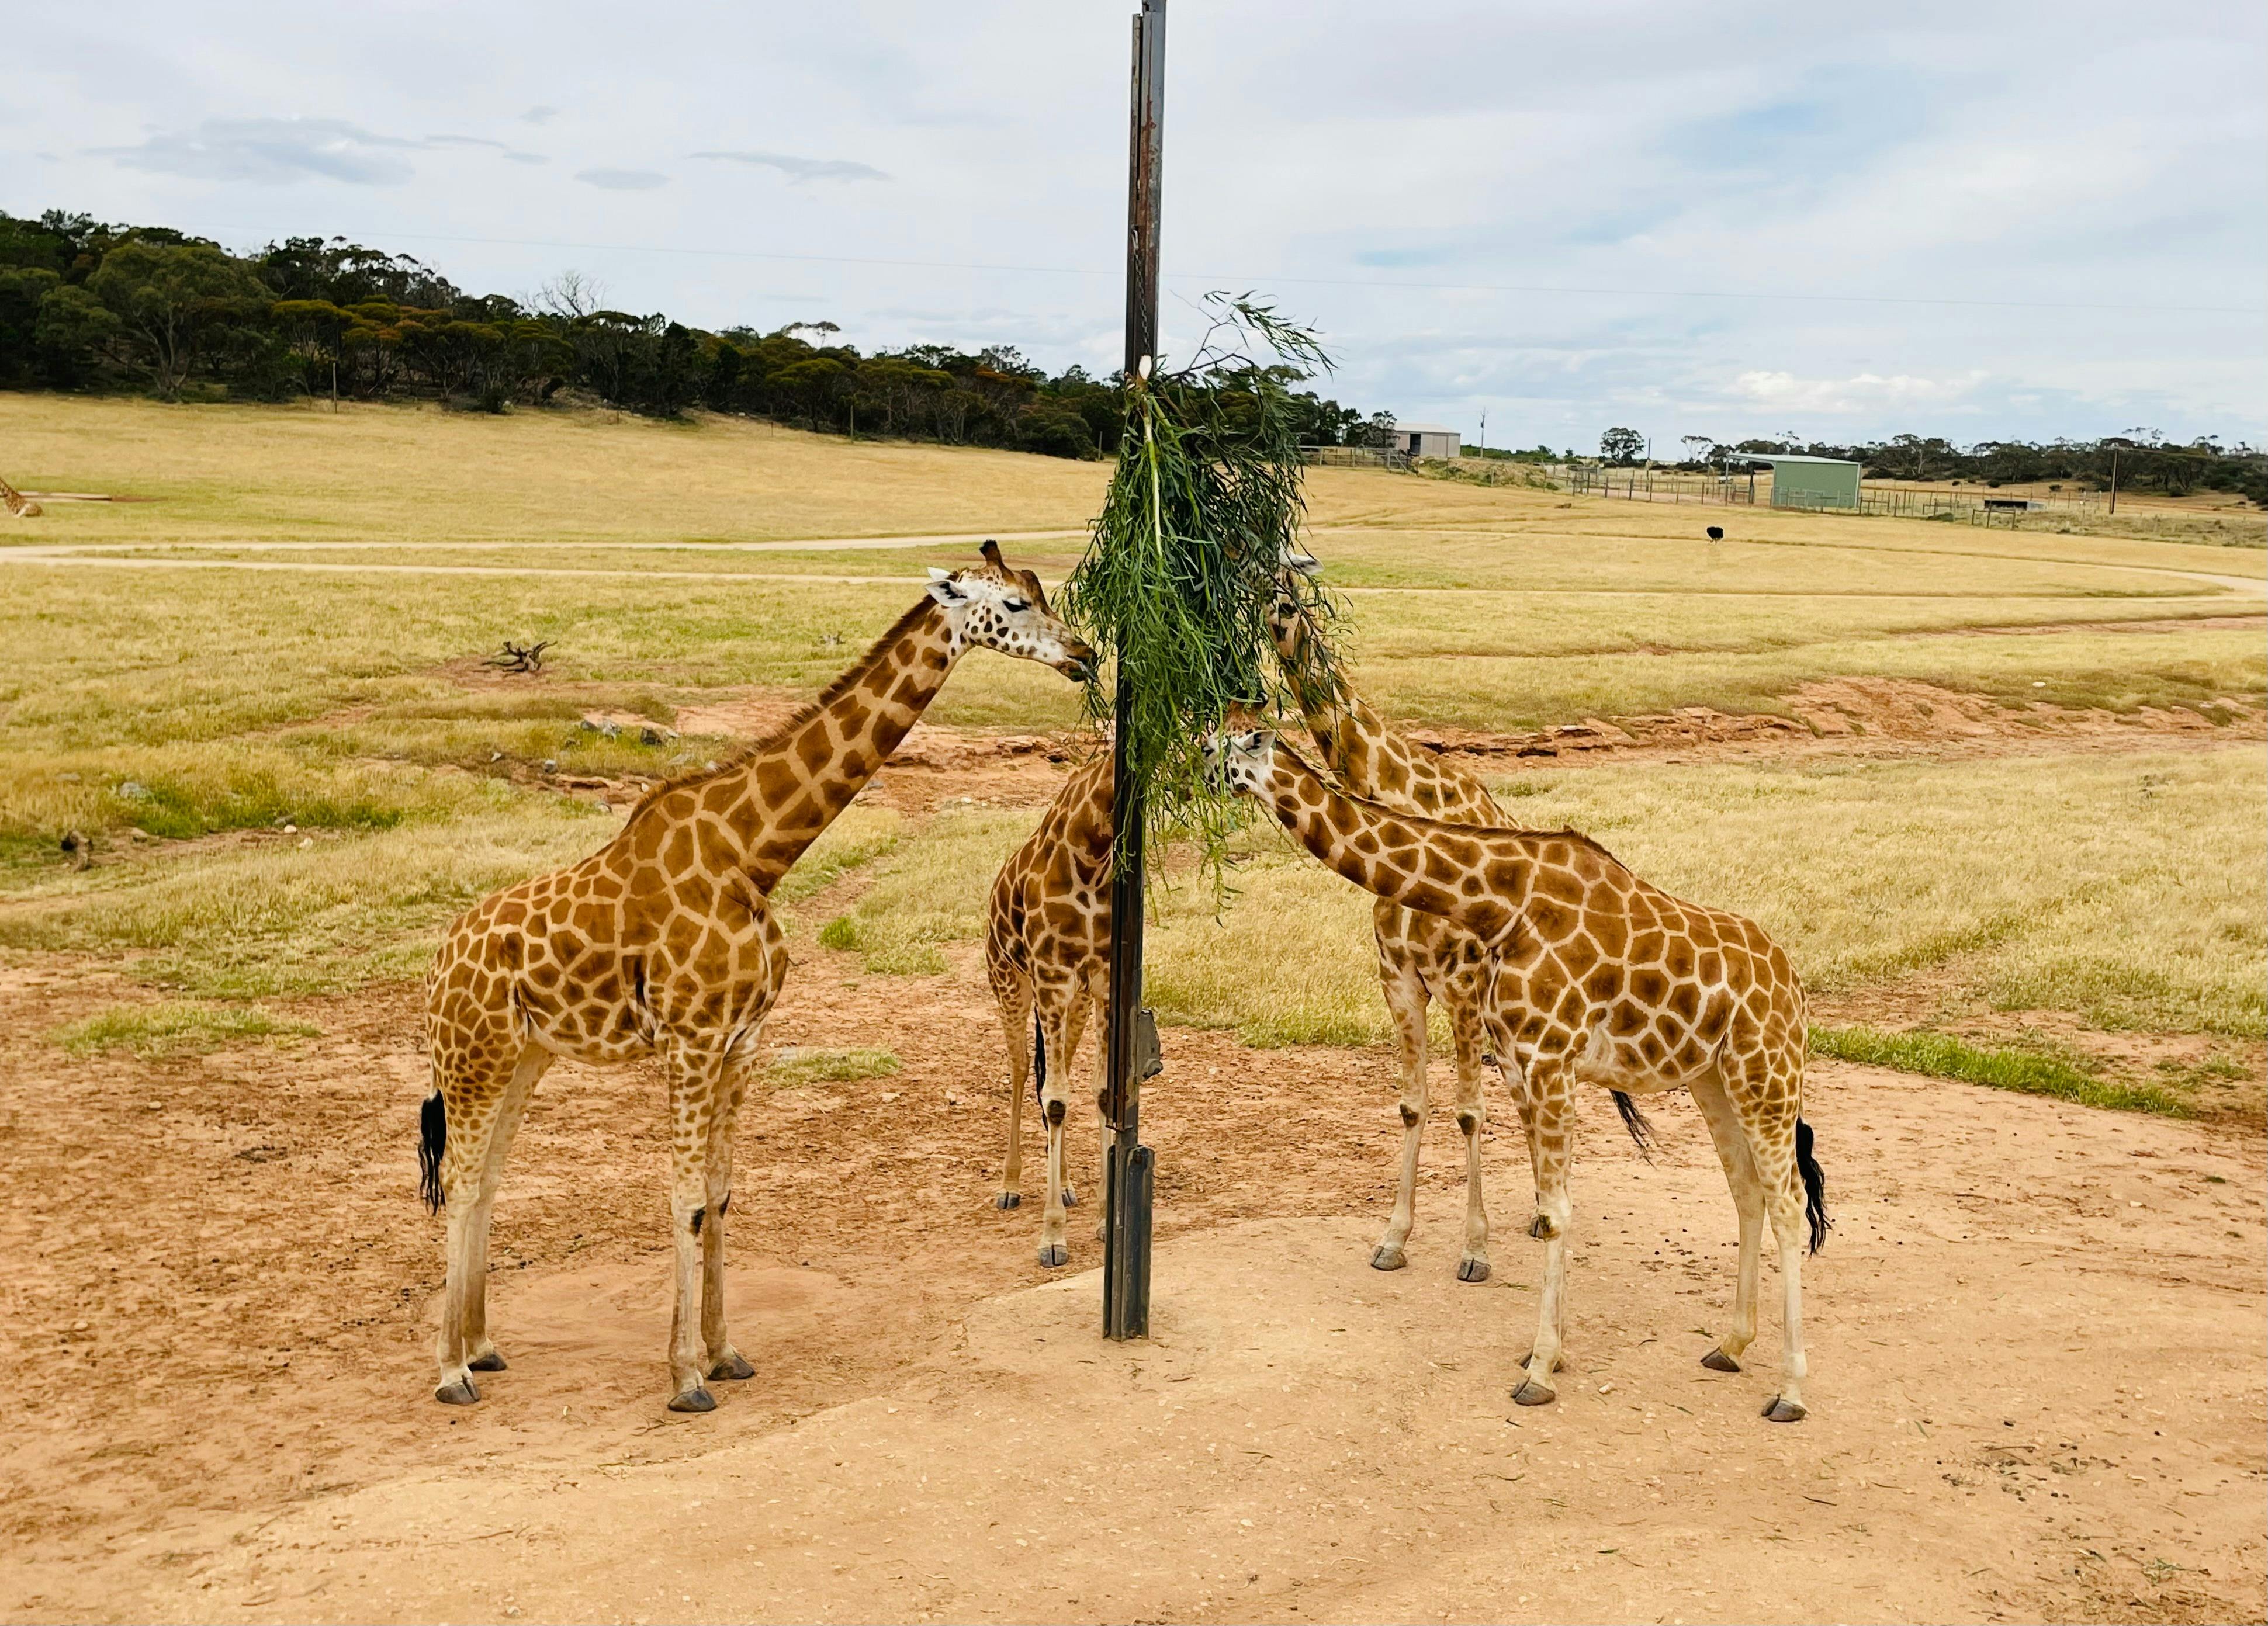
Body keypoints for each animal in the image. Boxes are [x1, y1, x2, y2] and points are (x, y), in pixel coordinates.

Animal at [418, 543, 1096, 1413]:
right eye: (1012, 604)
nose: (1083, 655)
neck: (754, 856)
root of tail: (440, 962)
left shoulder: (742, 1040)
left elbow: (720, 1191)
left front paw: (724, 1352)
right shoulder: (691, 1039)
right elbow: (683, 1196)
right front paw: (684, 1377)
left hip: (526, 1054)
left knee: (490, 1178)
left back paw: (483, 1344)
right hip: (474, 1055)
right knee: (463, 1177)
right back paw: (451, 1370)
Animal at [983, 750, 1113, 1267]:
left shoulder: (1100, 977)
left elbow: (1100, 1091)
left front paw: (1106, 1220)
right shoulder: (1051, 973)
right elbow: (1054, 1097)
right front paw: (1052, 1238)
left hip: (1069, 1001)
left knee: (1052, 1074)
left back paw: (1069, 1182)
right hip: (1009, 982)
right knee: (1021, 1070)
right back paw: (1009, 1184)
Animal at [1208, 725, 1828, 1421]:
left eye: (1227, 750)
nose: (1200, 773)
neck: (1500, 899)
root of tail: (1793, 984)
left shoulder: (1550, 1054)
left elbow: (1555, 1211)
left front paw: (1538, 1369)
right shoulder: (1524, 1056)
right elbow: (1544, 1195)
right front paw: (1548, 1351)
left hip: (1766, 1070)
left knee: (1787, 1200)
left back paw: (1789, 1389)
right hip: (1711, 1078)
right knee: (1747, 1191)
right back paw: (1729, 1343)